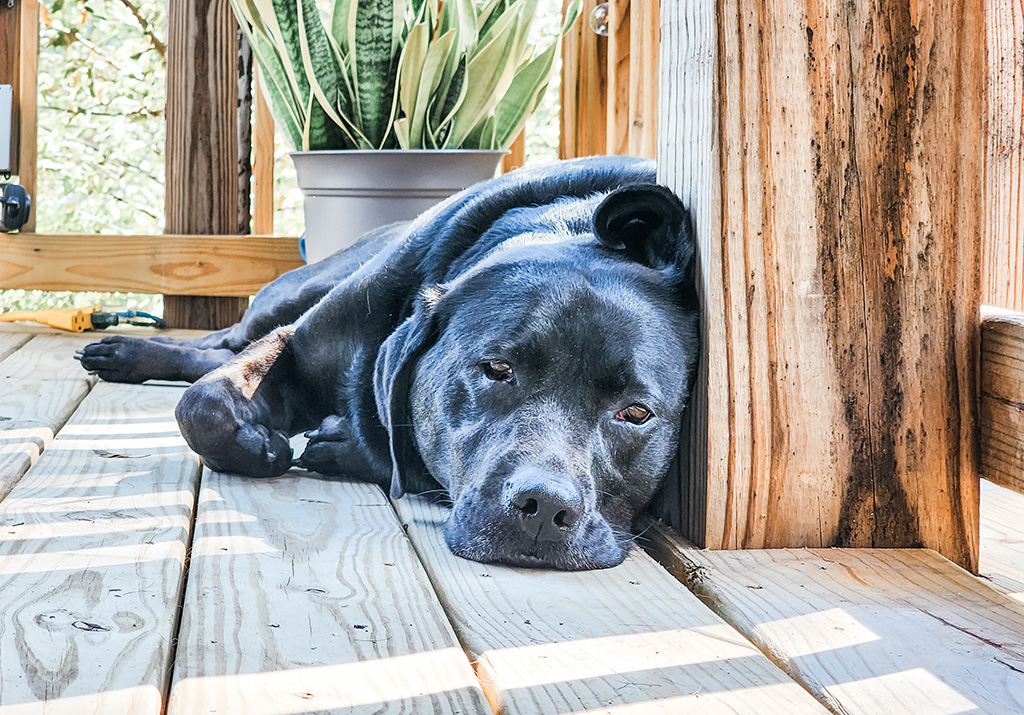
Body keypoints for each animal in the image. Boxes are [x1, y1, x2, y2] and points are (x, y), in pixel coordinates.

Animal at [81, 155, 704, 569]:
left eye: (636, 414)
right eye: (496, 370)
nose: (545, 507)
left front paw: (341, 442)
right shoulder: (297, 346)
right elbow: (204, 403)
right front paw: (261, 445)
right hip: (290, 294)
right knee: (224, 343)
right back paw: (124, 351)